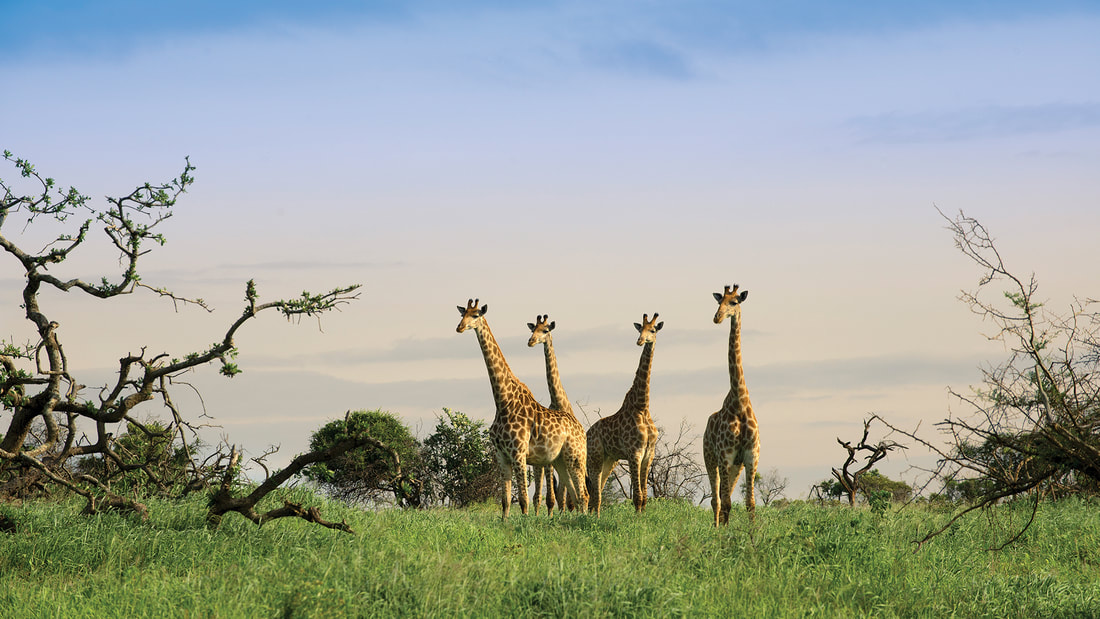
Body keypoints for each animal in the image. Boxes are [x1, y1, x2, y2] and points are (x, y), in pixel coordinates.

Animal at [456, 299, 588, 519]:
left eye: (475, 315)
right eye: (462, 314)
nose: (459, 327)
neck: (502, 401)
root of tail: (582, 430)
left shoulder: (518, 453)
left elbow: (525, 500)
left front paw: (525, 523)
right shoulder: (502, 455)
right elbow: (506, 500)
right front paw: (505, 522)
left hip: (575, 456)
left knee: (583, 494)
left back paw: (587, 520)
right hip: (560, 460)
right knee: (575, 495)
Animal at [585, 312, 662, 516]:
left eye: (653, 330)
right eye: (640, 329)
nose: (640, 340)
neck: (642, 406)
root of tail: (587, 433)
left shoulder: (649, 454)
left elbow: (644, 496)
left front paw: (642, 516)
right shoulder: (634, 452)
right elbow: (638, 496)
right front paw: (636, 518)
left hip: (609, 460)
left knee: (597, 490)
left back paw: (594, 516)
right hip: (595, 457)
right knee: (594, 493)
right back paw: (593, 518)